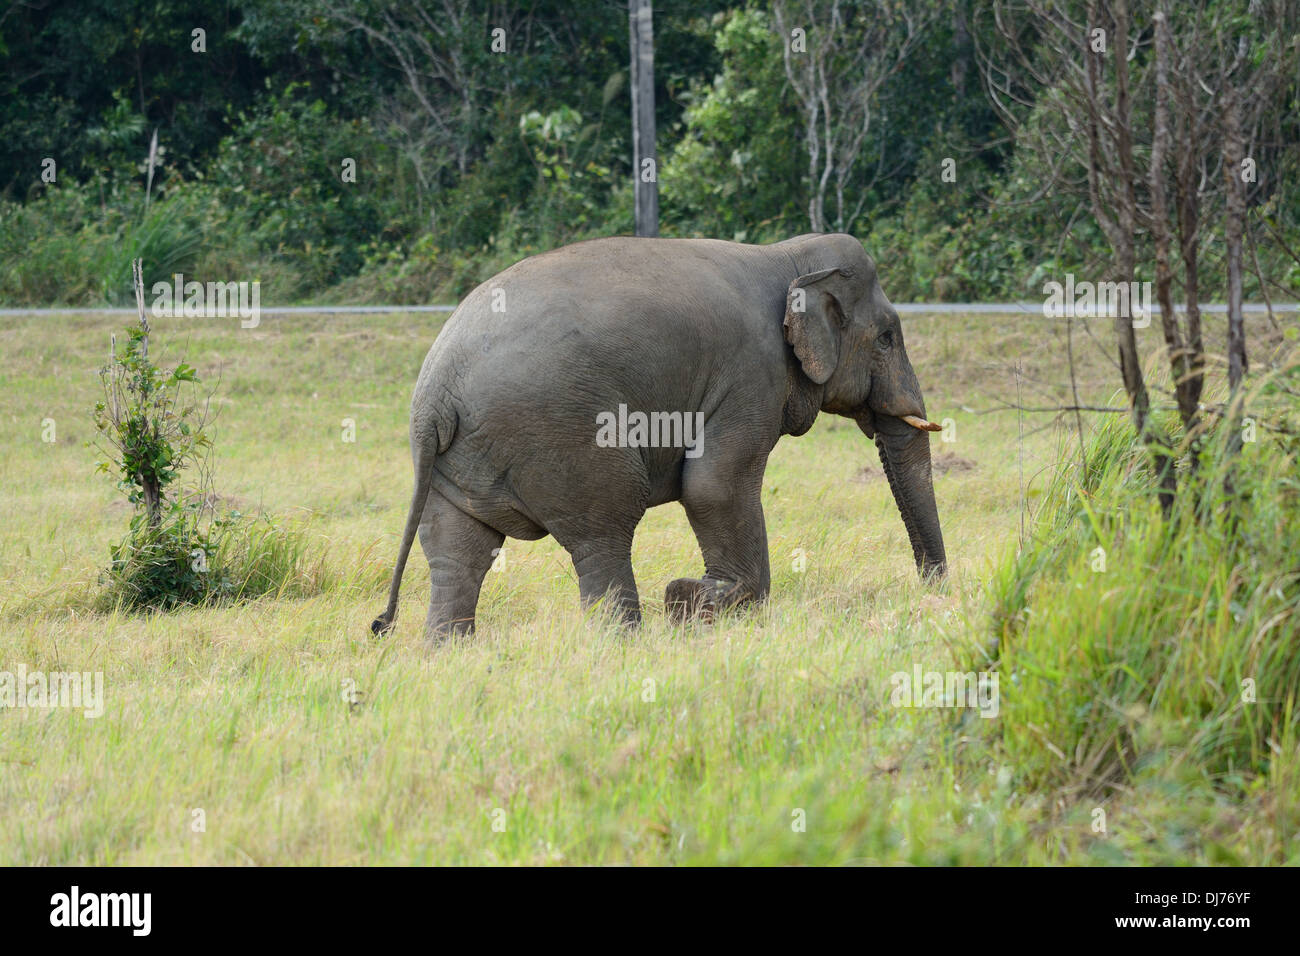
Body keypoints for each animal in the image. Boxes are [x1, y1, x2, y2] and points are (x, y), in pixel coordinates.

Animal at [371, 232, 946, 640]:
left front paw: (699, 601)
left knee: (458, 551)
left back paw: (448, 651)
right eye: (887, 338)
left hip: (459, 463)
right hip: (563, 436)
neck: (787, 256)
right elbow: (714, 486)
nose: (932, 594)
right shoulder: (751, 375)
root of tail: (433, 394)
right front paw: (696, 601)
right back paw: (623, 644)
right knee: (603, 531)